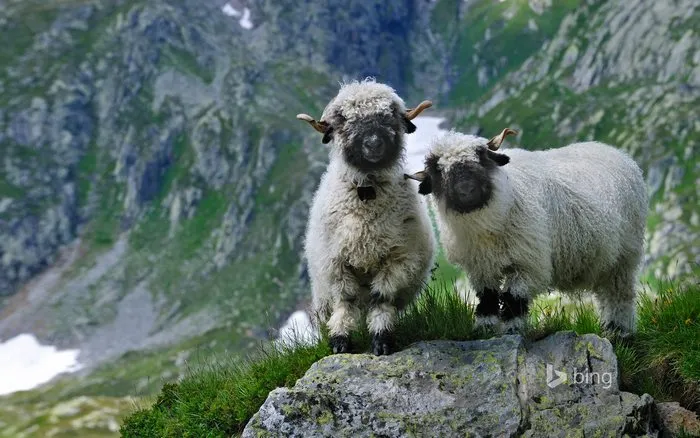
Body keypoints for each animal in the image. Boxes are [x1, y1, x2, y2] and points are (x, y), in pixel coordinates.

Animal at [297, 80, 437, 355]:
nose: (373, 143)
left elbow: (381, 299)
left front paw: (381, 339)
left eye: (389, 115)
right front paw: (340, 340)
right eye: (343, 120)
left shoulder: (397, 260)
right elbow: (345, 301)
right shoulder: (336, 263)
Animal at [405, 128, 648, 334]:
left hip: (625, 256)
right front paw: (484, 328)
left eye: (481, 158)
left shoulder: (528, 262)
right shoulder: (480, 266)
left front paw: (512, 329)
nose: (466, 190)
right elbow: (487, 297)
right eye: (438, 170)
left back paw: (619, 331)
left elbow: (513, 298)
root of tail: (616, 152)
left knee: (619, 295)